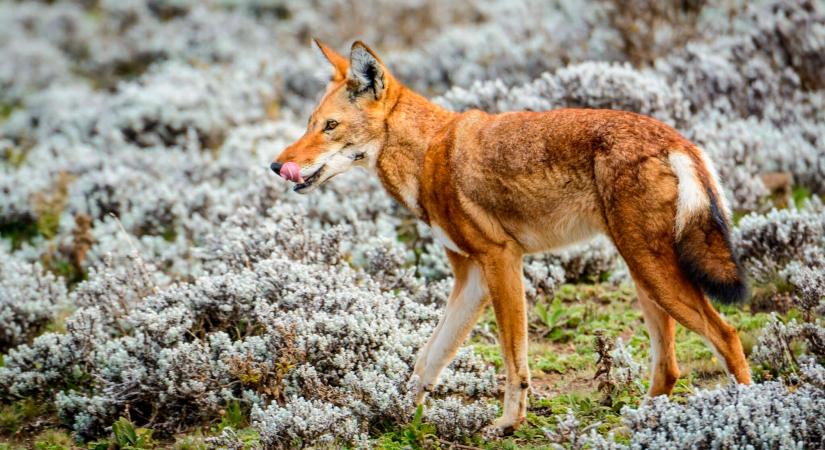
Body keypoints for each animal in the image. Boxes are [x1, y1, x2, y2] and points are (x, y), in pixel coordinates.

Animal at [272, 40, 752, 434]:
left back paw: (746, 409)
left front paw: (508, 424)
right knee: (669, 368)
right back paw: (639, 423)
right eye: (310, 123)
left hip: (653, 274)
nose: (278, 166)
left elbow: (512, 359)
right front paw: (394, 415)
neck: (428, 153)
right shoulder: (470, 280)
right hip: (643, 277)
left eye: (330, 126)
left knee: (727, 336)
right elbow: (427, 360)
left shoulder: (501, 261)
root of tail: (678, 140)